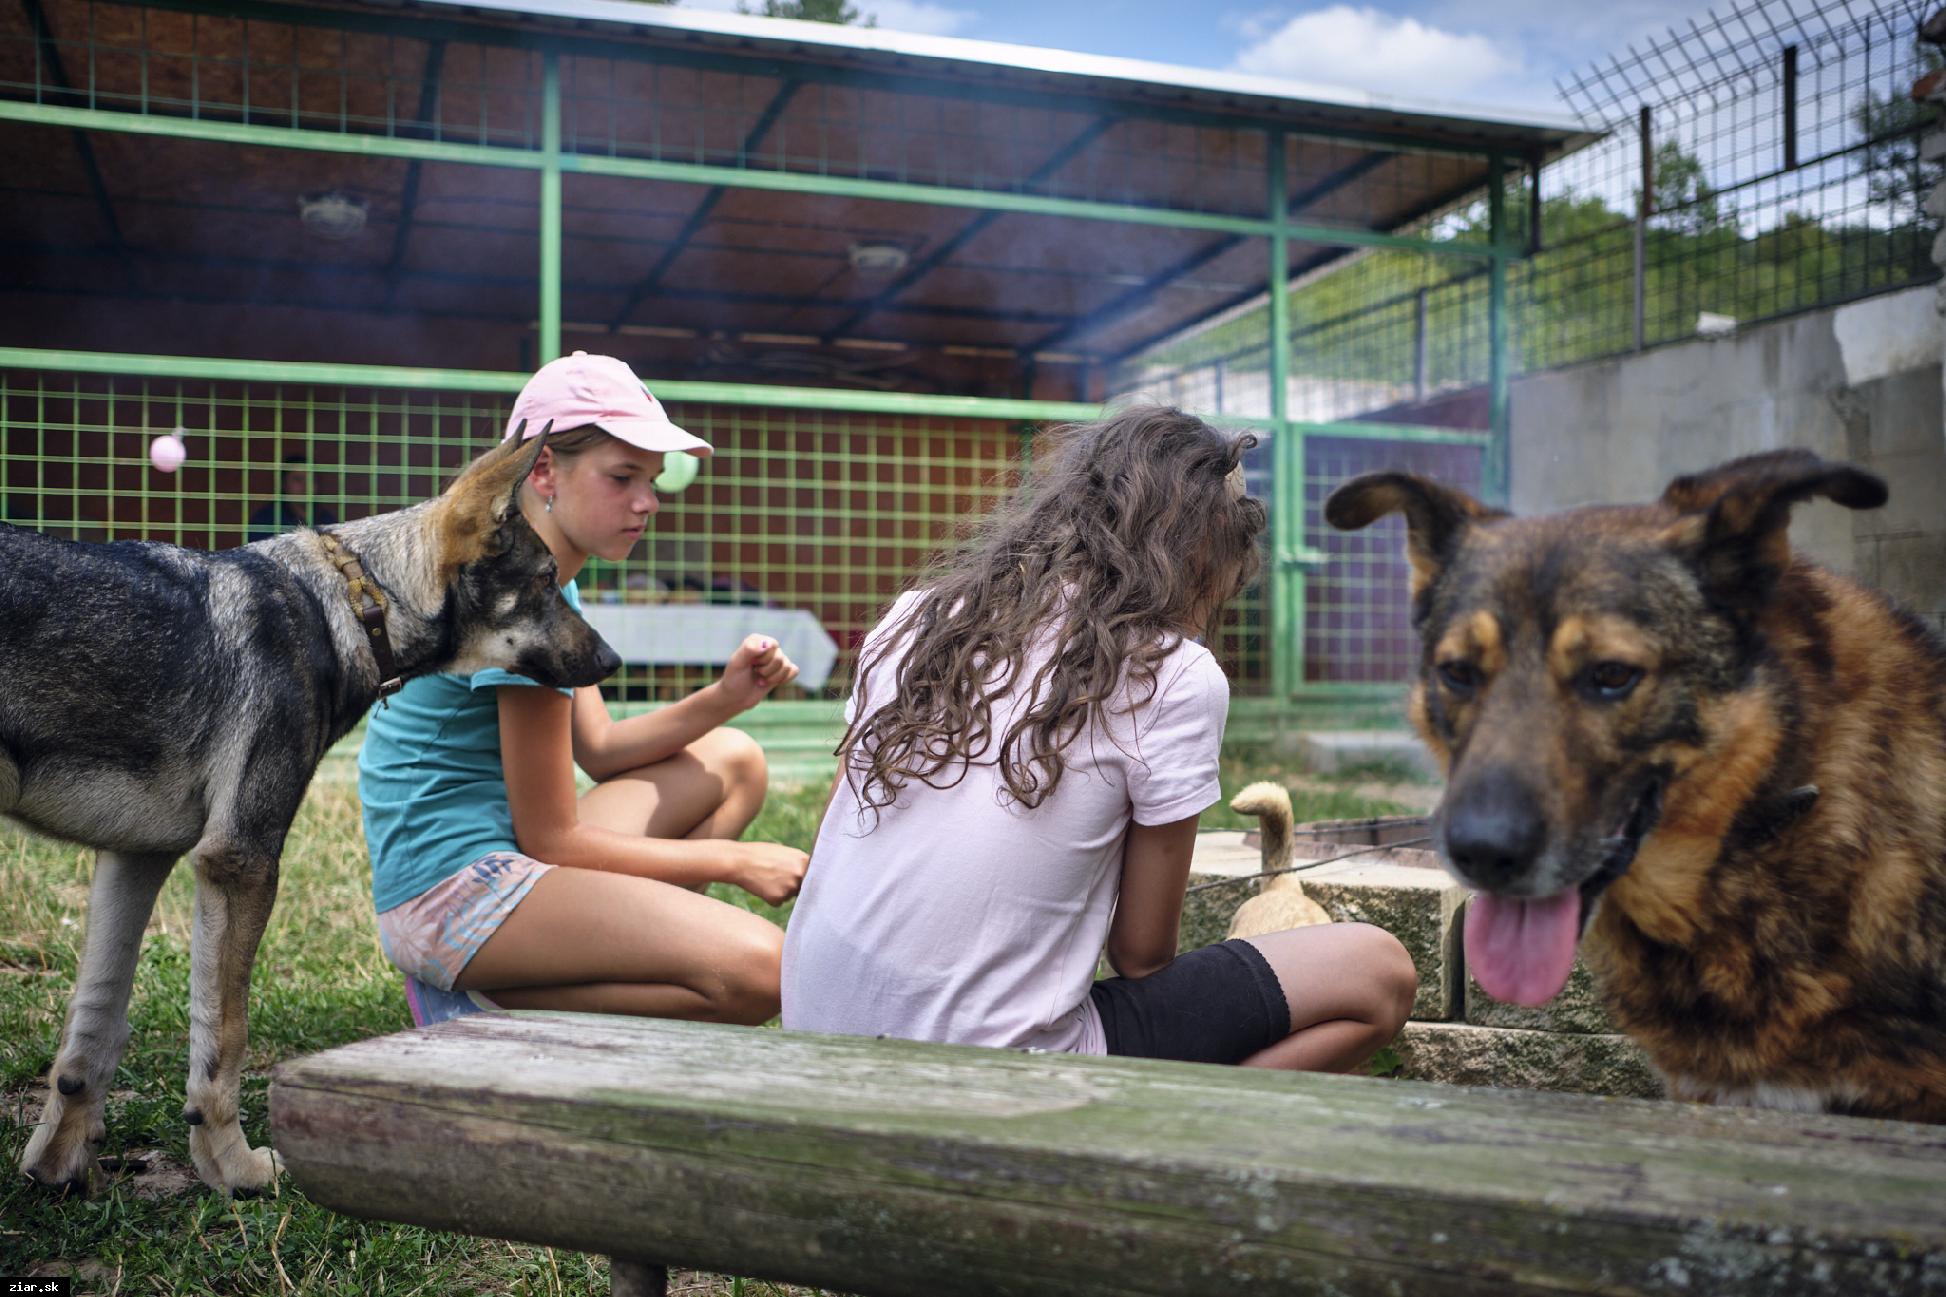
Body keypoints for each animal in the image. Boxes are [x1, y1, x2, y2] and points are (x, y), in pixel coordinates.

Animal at [7, 432, 614, 1191]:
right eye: (547, 577)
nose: (614, 661)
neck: (353, 606)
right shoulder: (240, 861)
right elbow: (224, 1035)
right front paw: (231, 1168)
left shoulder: (135, 858)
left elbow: (93, 1032)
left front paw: (56, 1166)